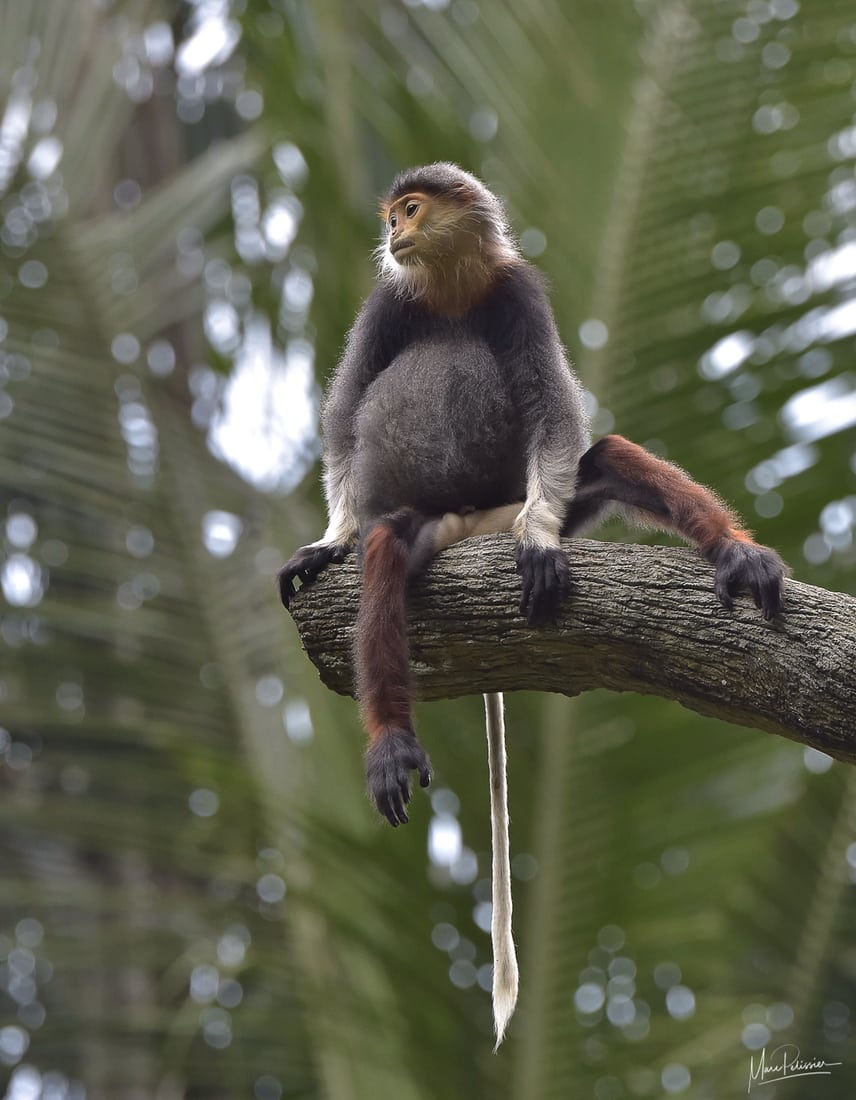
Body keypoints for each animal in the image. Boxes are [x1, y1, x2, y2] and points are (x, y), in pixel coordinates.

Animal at [277, 159, 783, 1042]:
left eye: (411, 210)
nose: (393, 233)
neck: (449, 291)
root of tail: (475, 521)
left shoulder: (517, 293)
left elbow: (555, 413)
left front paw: (544, 546)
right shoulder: (388, 303)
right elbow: (342, 420)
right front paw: (329, 539)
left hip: (519, 503)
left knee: (604, 455)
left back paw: (731, 553)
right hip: (429, 529)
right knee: (386, 551)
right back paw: (391, 739)